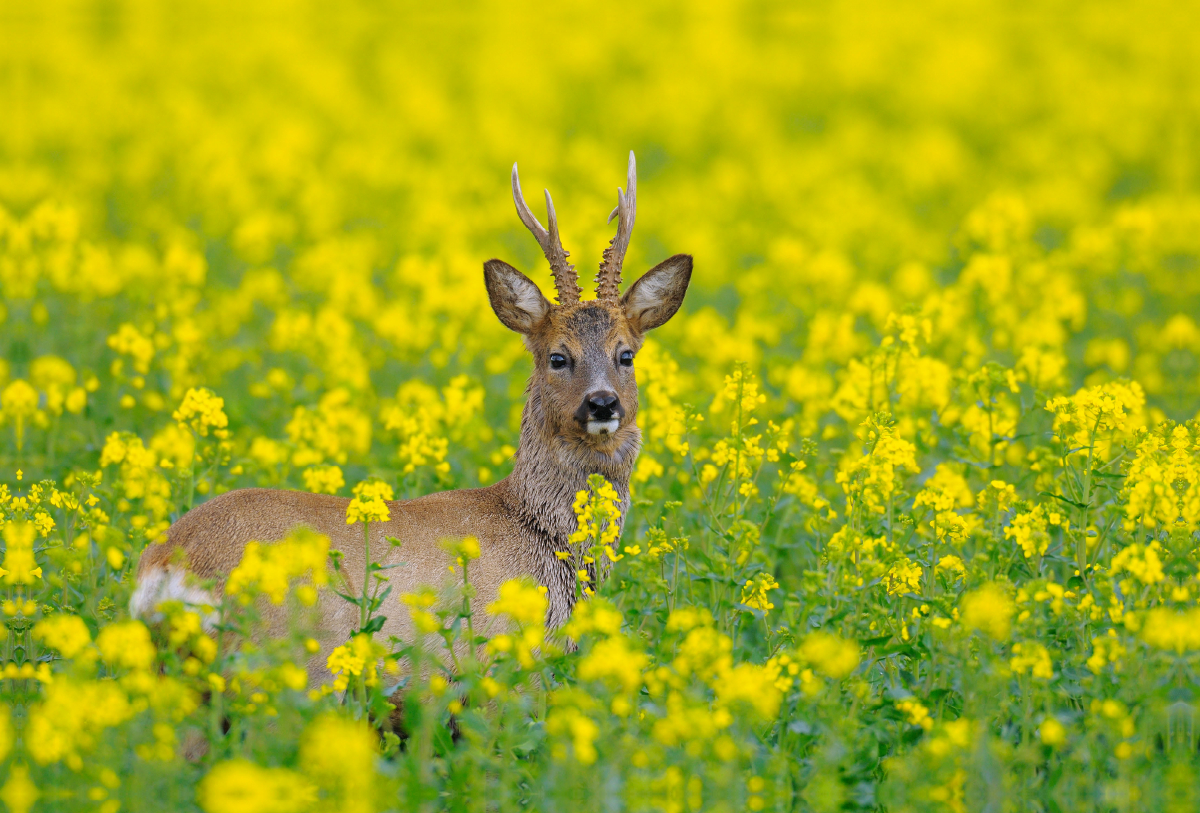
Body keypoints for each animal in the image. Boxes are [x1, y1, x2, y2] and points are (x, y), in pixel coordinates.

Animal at [131, 151, 696, 681]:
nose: (603, 404)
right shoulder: (503, 667)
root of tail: (166, 565)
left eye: (627, 355)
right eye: (558, 357)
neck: (535, 532)